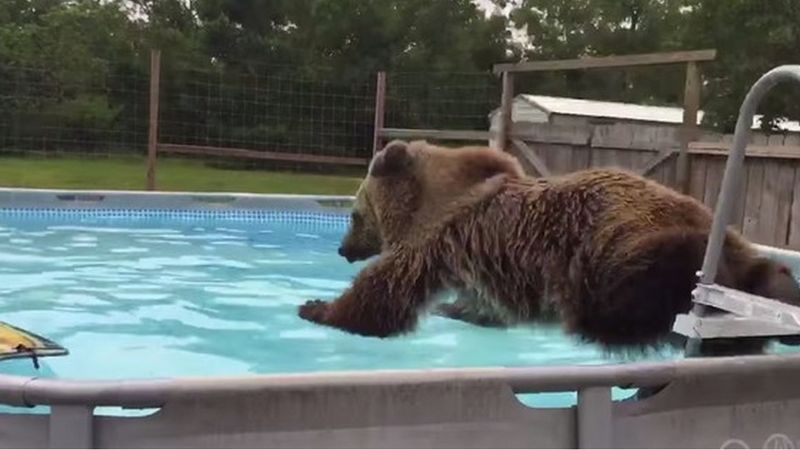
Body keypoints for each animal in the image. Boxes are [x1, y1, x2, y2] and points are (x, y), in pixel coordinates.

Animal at [298, 139, 800, 354]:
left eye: (354, 214)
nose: (343, 248)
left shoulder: (434, 240)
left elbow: (384, 294)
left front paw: (317, 307)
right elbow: (483, 304)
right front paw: (455, 309)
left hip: (621, 246)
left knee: (631, 297)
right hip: (729, 241)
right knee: (766, 273)